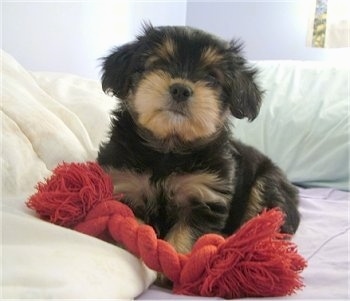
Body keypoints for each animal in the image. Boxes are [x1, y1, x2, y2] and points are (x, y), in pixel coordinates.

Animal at [97, 24, 300, 256]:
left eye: (211, 77)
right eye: (159, 64)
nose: (180, 89)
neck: (169, 148)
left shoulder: (204, 195)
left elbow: (185, 239)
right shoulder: (126, 184)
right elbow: (133, 226)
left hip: (267, 184)